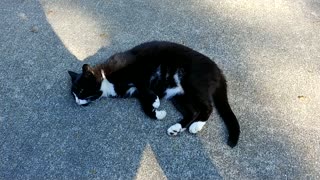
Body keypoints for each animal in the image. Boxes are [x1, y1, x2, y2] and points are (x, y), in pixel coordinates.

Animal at [69, 40, 241, 148]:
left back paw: (196, 126)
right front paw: (157, 113)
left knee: (207, 107)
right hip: (180, 96)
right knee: (192, 111)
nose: (77, 102)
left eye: (81, 91)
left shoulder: (139, 74)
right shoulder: (137, 93)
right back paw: (176, 128)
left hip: (193, 85)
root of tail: (218, 70)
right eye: (74, 95)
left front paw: (156, 102)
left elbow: (145, 88)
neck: (106, 77)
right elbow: (145, 106)